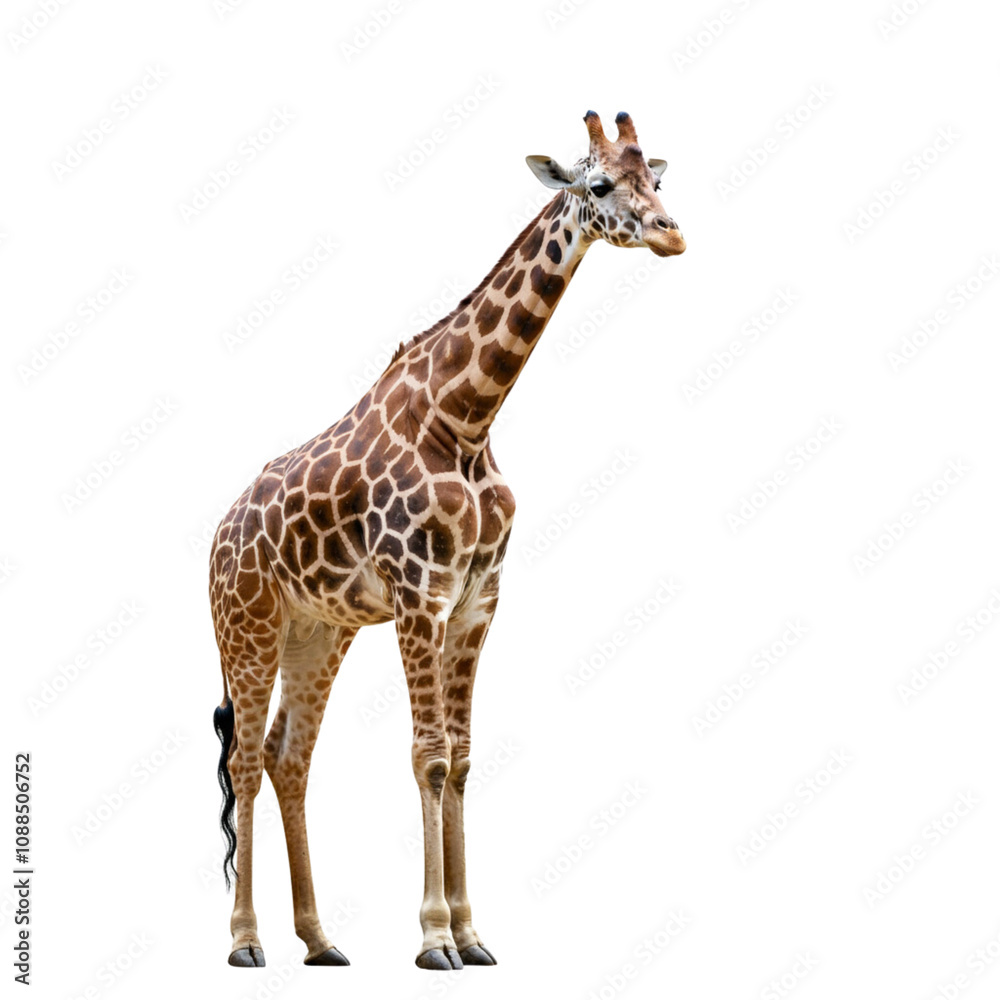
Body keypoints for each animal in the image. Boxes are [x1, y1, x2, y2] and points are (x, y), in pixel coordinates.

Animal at [209, 109, 685, 970]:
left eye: (658, 180)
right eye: (600, 184)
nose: (673, 234)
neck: (466, 418)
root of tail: (213, 539)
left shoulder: (475, 601)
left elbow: (460, 758)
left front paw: (472, 933)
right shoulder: (418, 596)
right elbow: (427, 756)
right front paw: (434, 939)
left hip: (315, 633)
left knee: (289, 758)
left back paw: (320, 940)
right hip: (247, 628)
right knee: (245, 761)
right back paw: (246, 942)